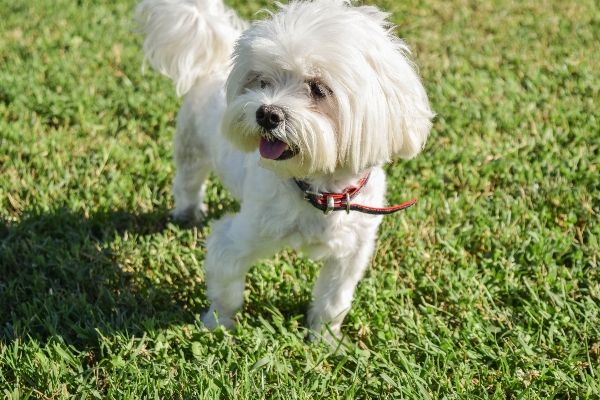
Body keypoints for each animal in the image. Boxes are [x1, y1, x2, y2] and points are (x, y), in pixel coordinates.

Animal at [137, 0, 432, 344]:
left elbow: (334, 300)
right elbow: (226, 283)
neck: (320, 190)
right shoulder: (240, 238)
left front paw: (326, 340)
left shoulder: (350, 254)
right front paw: (219, 325)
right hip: (191, 147)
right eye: (262, 80)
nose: (267, 113)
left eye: (319, 89)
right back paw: (187, 214)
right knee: (188, 182)